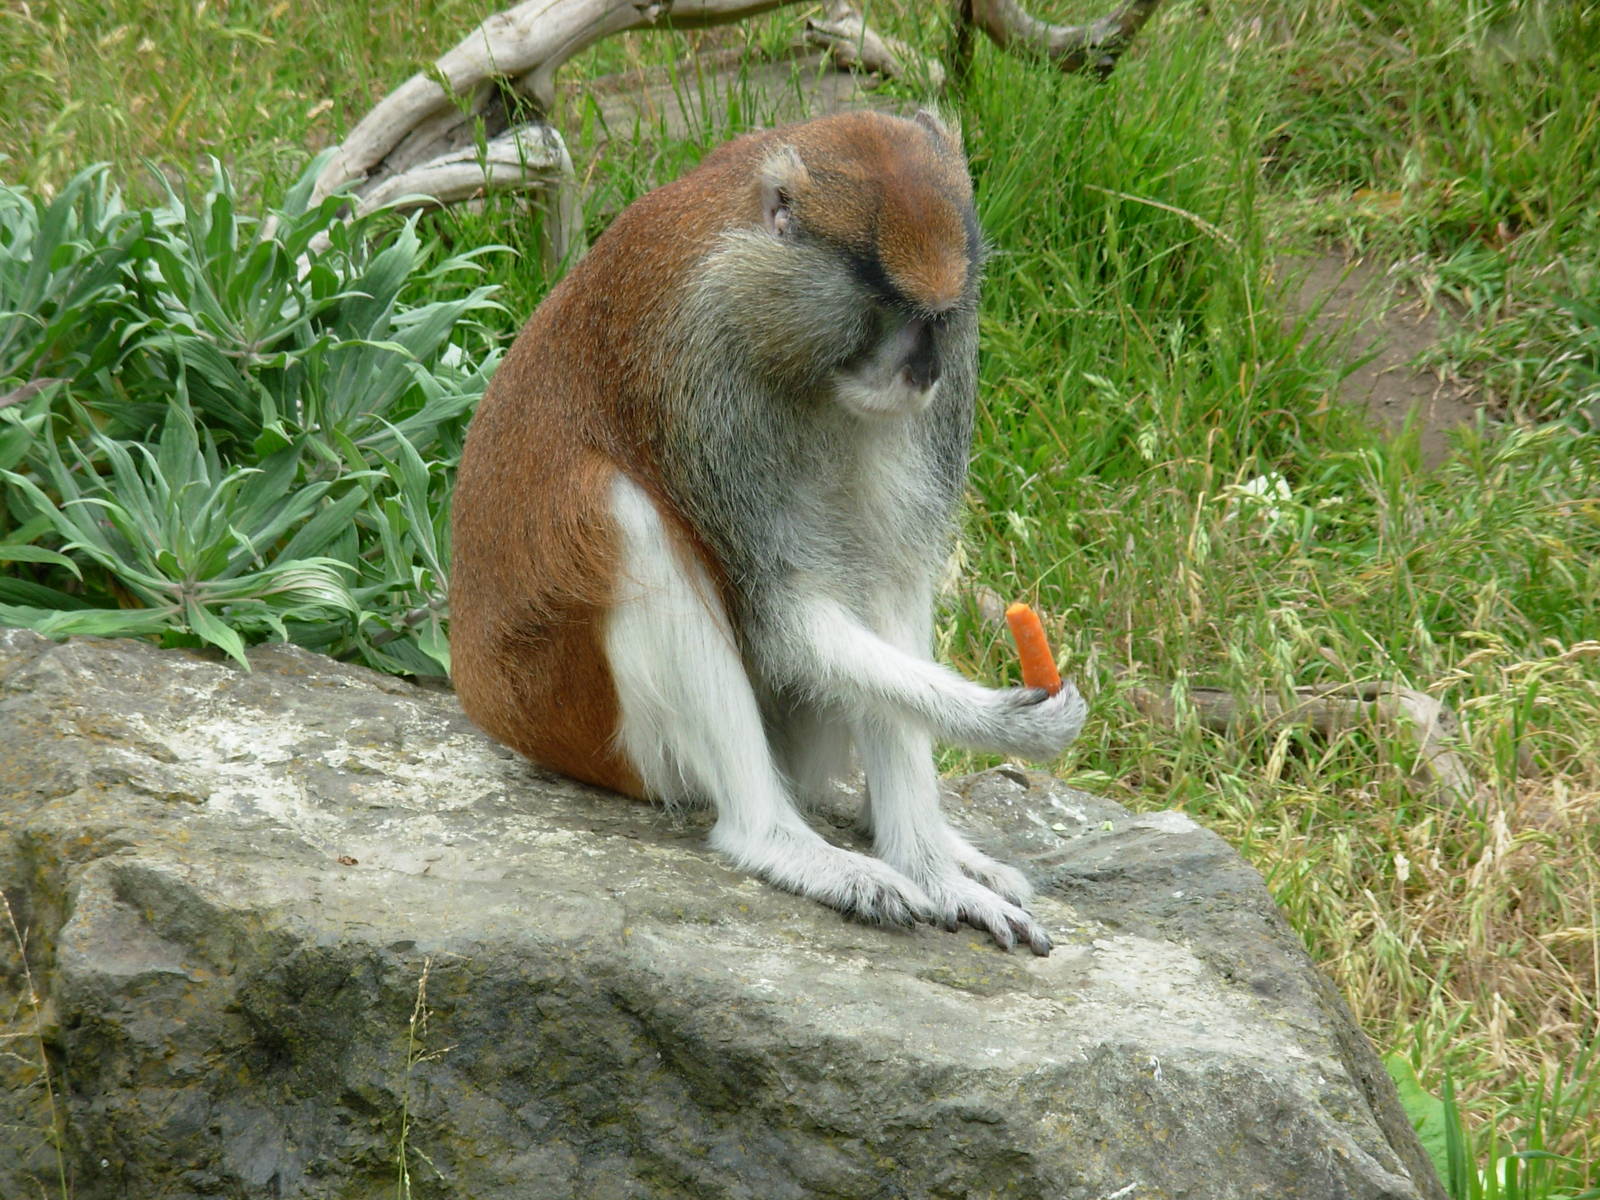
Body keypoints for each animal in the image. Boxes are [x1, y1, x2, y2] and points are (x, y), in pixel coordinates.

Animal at [450, 109, 1087, 954]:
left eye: (940, 318)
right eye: (884, 308)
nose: (924, 372)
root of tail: (486, 700)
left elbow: (887, 584)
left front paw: (935, 868)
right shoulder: (704, 379)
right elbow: (786, 616)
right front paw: (1001, 722)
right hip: (596, 730)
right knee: (627, 517)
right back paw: (778, 840)